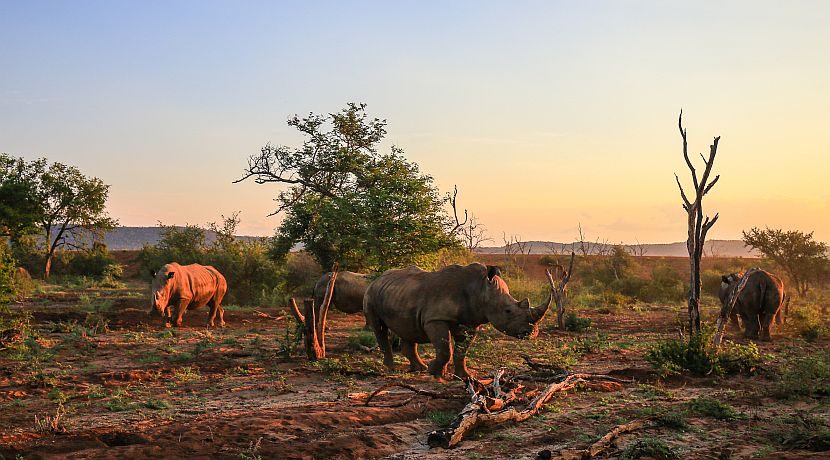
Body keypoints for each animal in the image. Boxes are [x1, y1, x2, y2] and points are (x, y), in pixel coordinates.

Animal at [363, 263, 553, 378]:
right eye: (508, 311)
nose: (531, 333)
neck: (480, 289)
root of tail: (378, 279)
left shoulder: (470, 322)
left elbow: (462, 351)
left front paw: (464, 376)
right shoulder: (436, 319)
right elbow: (445, 349)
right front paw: (435, 372)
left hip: (399, 294)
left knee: (409, 330)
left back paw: (419, 368)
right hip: (371, 294)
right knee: (379, 329)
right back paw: (391, 368)